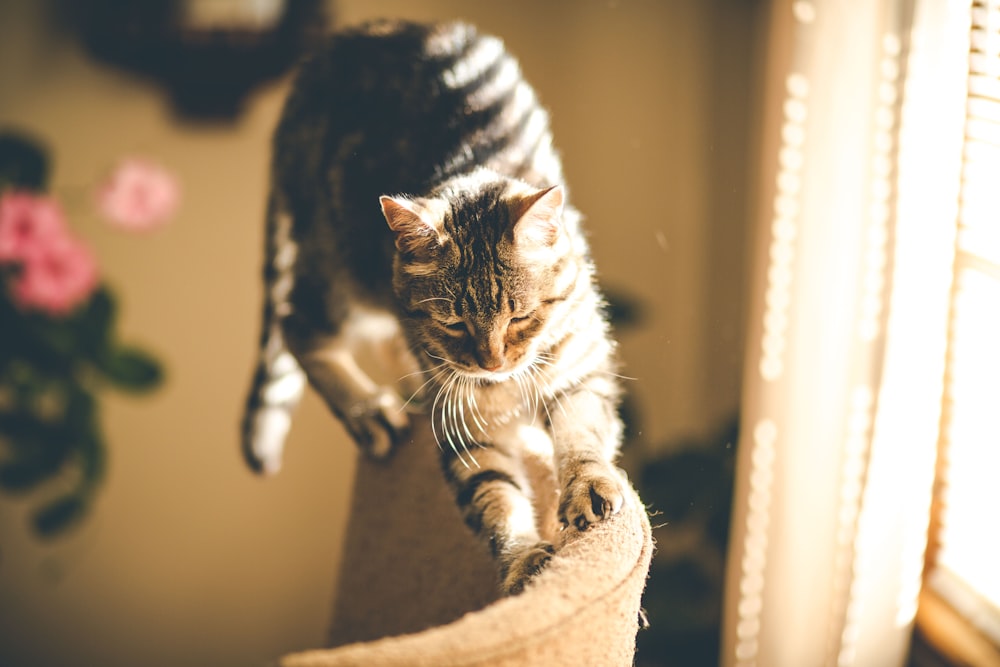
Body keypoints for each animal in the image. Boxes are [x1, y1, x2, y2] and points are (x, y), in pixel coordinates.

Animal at [241, 19, 624, 596]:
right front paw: (522, 561)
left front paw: (587, 484)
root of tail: (328, 51)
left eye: (519, 317)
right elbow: (494, 496)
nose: (492, 363)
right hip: (340, 275)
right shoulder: (465, 430)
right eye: (455, 324)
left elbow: (583, 430)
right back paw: (368, 411)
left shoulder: (581, 369)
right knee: (295, 323)